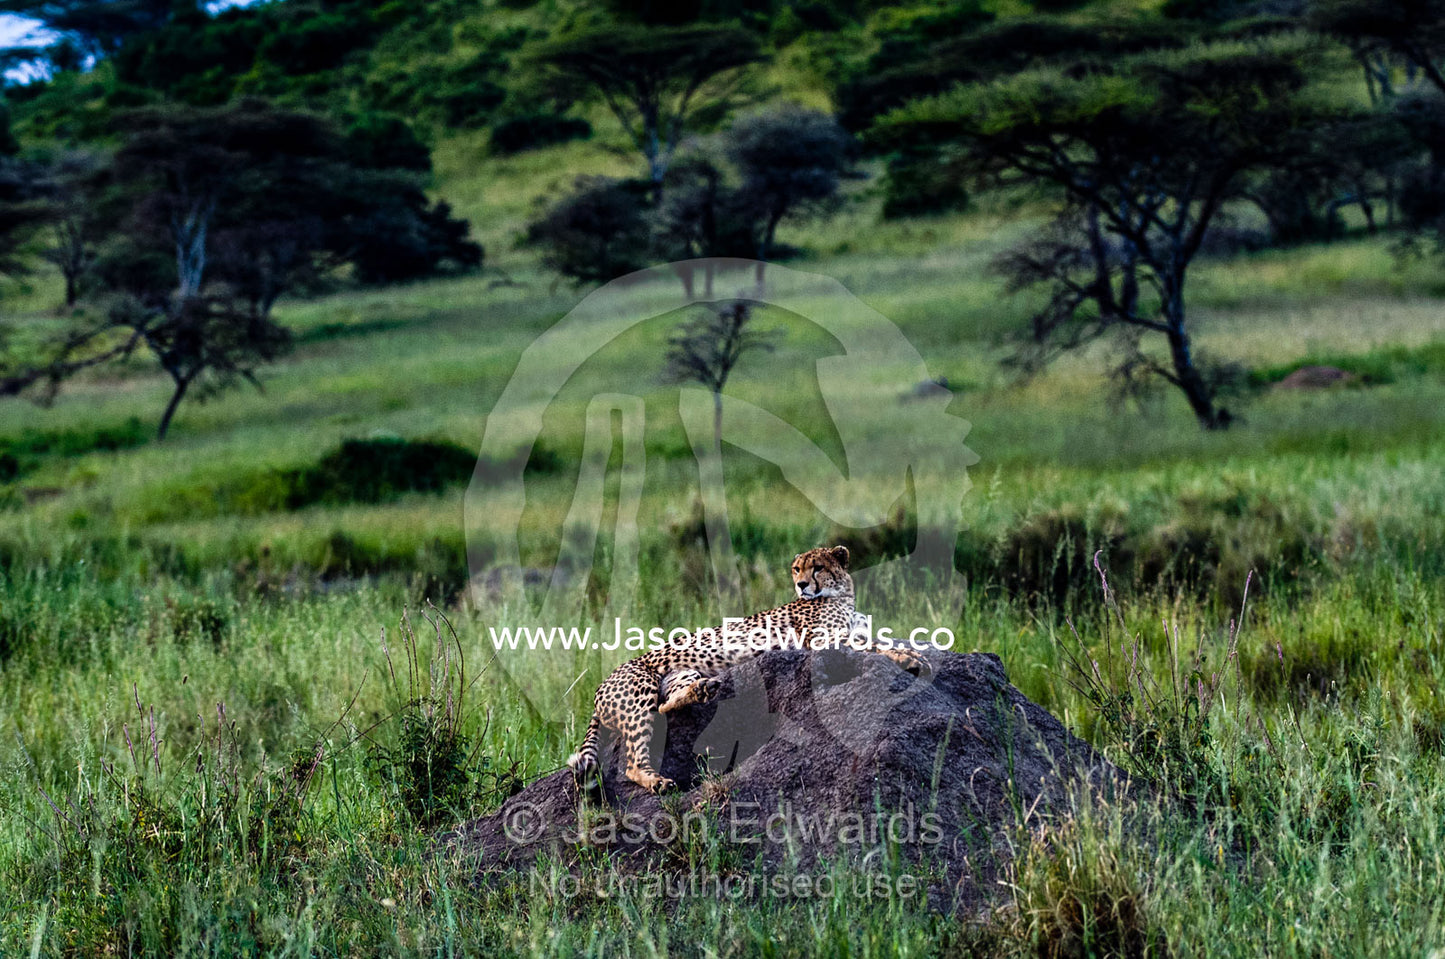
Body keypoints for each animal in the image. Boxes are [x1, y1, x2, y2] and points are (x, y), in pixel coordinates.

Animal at [566, 545, 927, 793]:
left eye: (818, 567)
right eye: (797, 569)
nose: (802, 585)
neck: (843, 596)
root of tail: (601, 685)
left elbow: (876, 639)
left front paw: (911, 652)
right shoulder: (824, 641)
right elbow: (875, 646)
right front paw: (910, 658)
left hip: (678, 676)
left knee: (667, 704)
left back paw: (701, 691)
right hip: (639, 692)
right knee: (631, 759)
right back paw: (657, 781)